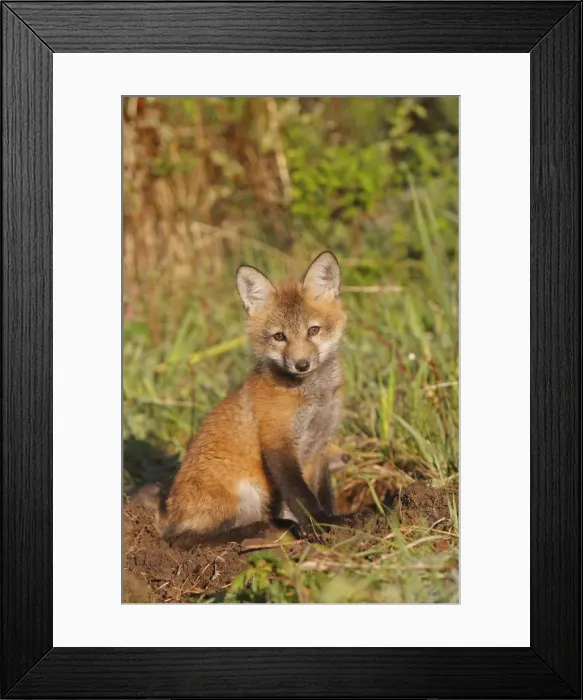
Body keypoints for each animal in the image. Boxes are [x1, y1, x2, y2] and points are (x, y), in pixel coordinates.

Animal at [162, 251, 354, 548]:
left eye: (313, 331)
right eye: (279, 336)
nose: (301, 364)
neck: (312, 396)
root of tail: (169, 520)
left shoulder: (320, 446)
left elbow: (323, 495)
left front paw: (330, 521)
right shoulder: (277, 443)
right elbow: (301, 496)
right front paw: (320, 527)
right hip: (244, 492)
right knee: (186, 540)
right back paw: (262, 530)